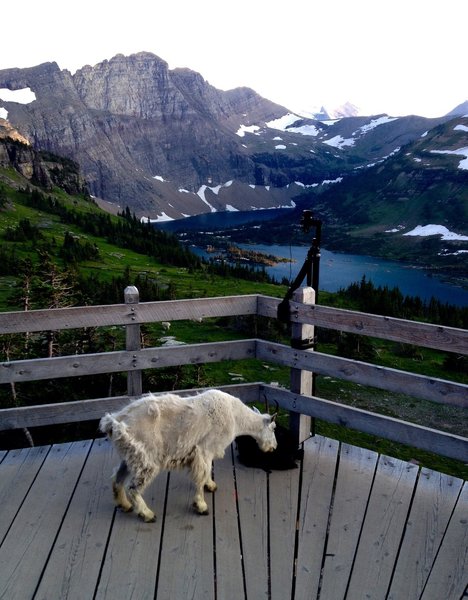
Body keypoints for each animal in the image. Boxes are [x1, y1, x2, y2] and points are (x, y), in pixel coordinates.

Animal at [98, 390, 274, 520]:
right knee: (133, 487)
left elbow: (206, 471)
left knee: (118, 478)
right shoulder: (205, 449)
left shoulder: (205, 453)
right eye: (273, 428)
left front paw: (210, 485)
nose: (273, 448)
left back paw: (124, 505)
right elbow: (201, 475)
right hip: (146, 458)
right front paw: (201, 506)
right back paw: (147, 514)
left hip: (130, 455)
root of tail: (114, 423)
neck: (235, 416)